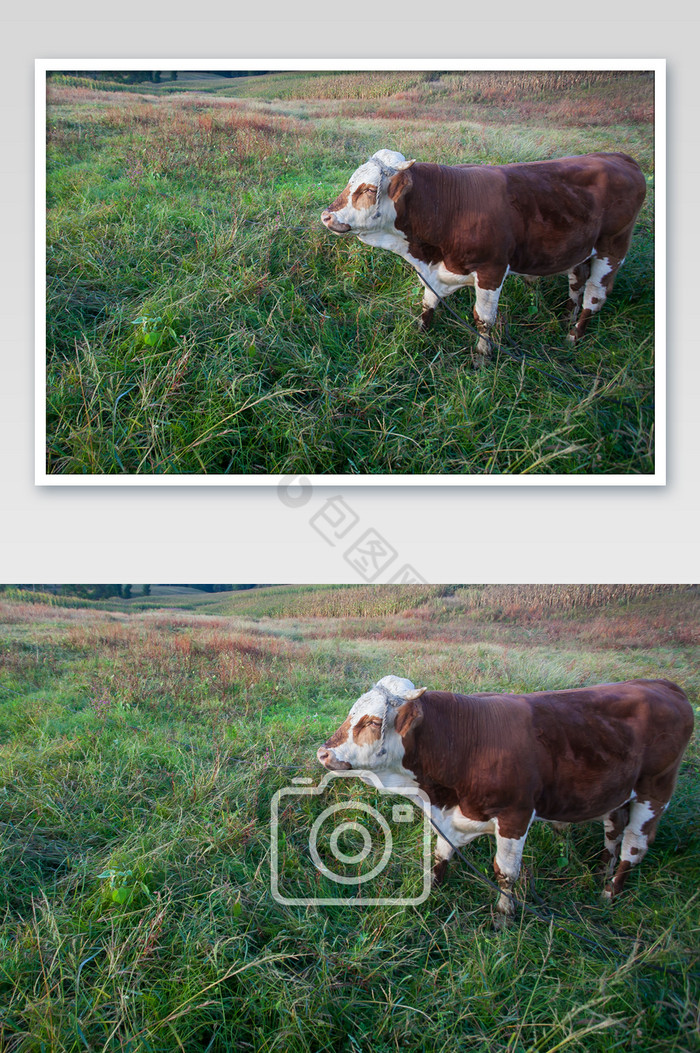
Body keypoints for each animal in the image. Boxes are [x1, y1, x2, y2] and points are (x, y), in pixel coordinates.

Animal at [317, 678, 694, 918]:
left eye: (372, 721)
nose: (323, 753)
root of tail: (663, 684)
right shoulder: (451, 818)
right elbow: (441, 855)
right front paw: (434, 891)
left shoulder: (516, 815)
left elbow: (506, 872)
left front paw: (502, 917)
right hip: (617, 794)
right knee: (613, 832)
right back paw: (602, 872)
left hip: (654, 792)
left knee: (633, 848)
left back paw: (608, 895)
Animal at [320, 146, 648, 364]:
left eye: (368, 189)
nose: (326, 216)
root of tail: (618, 157)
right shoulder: (436, 272)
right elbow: (428, 303)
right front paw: (421, 332)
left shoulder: (492, 270)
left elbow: (484, 319)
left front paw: (481, 357)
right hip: (580, 250)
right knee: (576, 283)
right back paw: (566, 317)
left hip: (612, 249)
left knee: (594, 297)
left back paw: (573, 337)